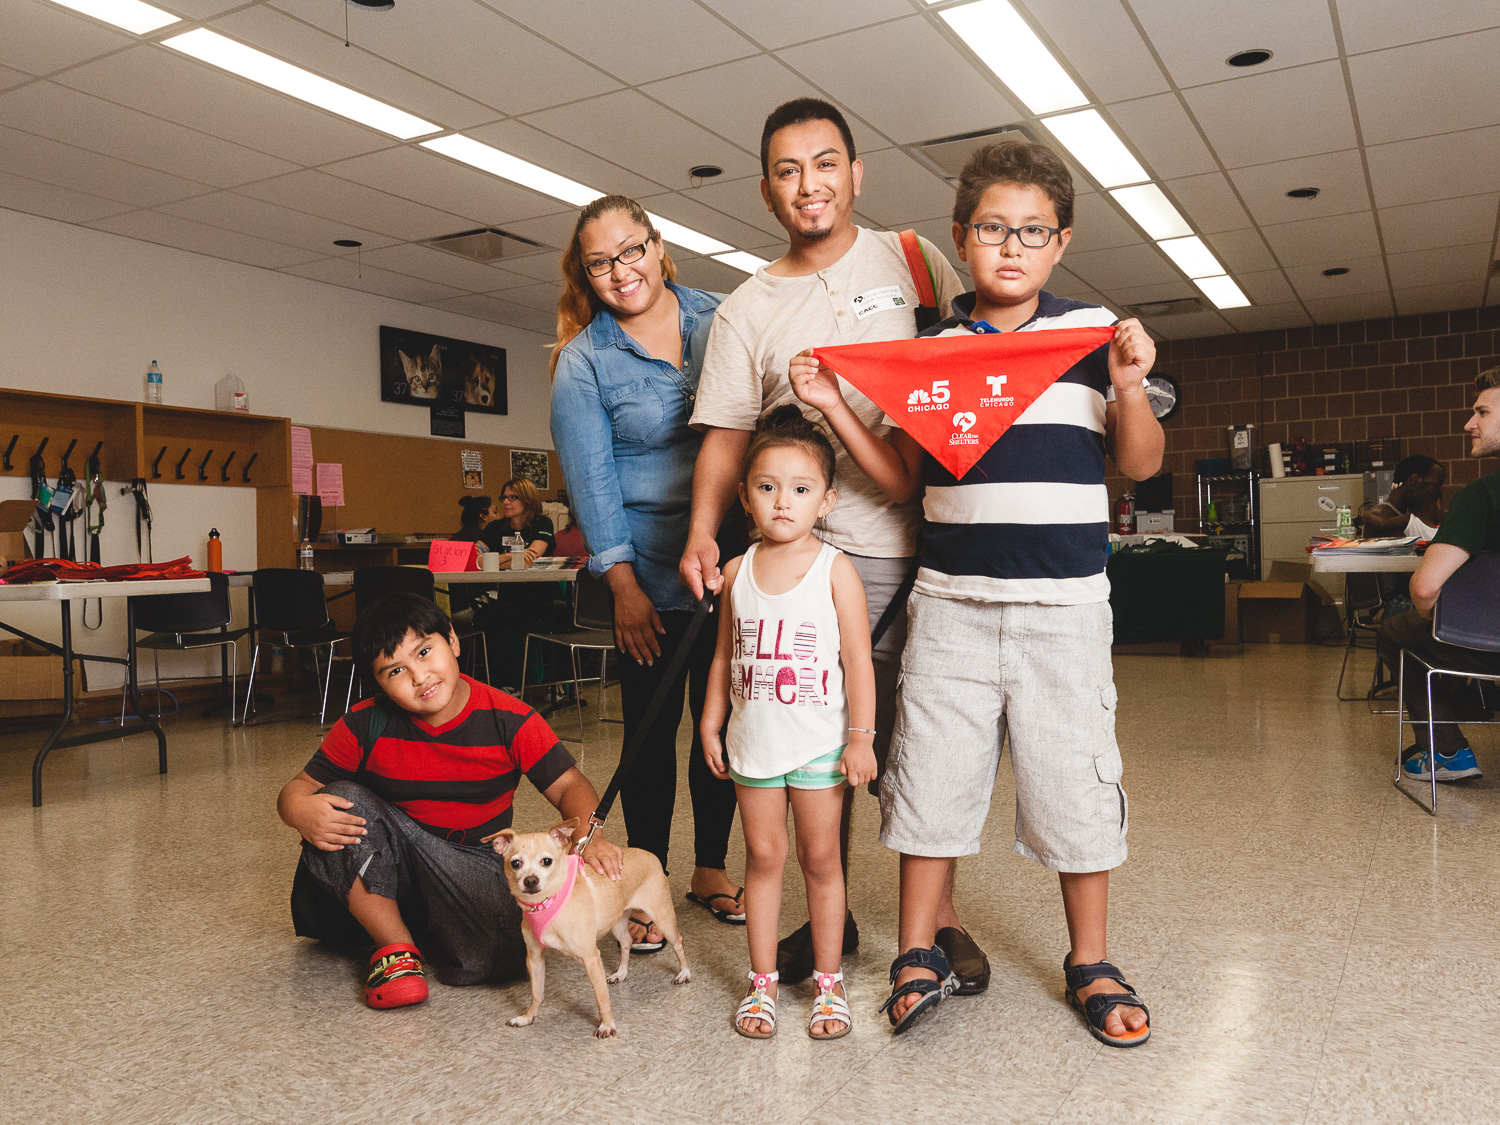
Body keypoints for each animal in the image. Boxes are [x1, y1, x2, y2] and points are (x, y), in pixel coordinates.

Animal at [489, 822, 693, 1038]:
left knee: (678, 942)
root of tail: (649, 854)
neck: (546, 903)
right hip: (617, 922)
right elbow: (536, 993)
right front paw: (528, 1017)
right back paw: (621, 973)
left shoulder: (591, 958)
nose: (530, 880)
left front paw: (607, 1025)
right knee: (627, 942)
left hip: (662, 919)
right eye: (515, 863)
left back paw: (684, 973)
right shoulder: (535, 958)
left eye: (547, 861)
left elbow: (601, 997)